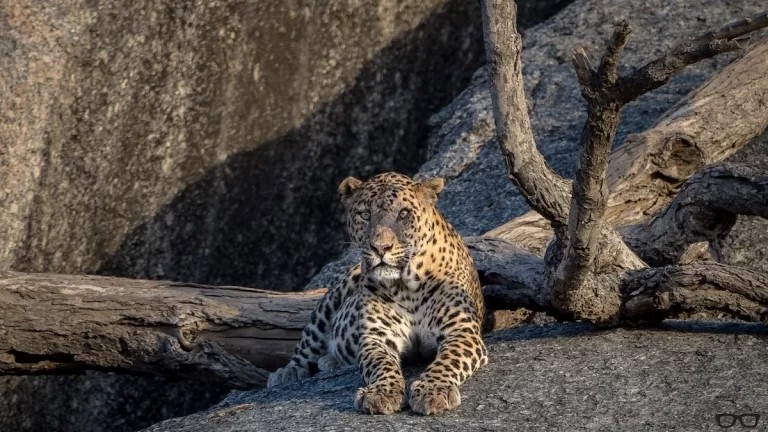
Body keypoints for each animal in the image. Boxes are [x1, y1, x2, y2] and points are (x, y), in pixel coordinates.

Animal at [268, 172, 488, 416]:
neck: (407, 285)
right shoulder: (376, 338)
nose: (380, 248)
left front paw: (432, 391)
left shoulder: (461, 332)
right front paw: (382, 392)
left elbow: (447, 361)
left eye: (403, 214)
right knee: (307, 342)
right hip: (331, 301)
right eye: (365, 215)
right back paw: (289, 372)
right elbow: (380, 365)